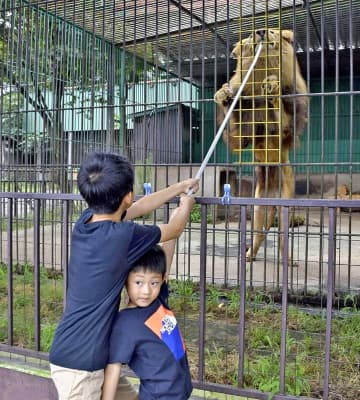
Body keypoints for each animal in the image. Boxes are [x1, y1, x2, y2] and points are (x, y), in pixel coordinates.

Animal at [214, 28, 310, 260]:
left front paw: (273, 87)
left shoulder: (288, 126)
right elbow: (237, 128)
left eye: (273, 31)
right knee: (259, 232)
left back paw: (288, 260)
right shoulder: (244, 134)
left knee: (284, 237)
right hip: (258, 208)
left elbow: (282, 115)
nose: (260, 31)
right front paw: (224, 94)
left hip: (286, 205)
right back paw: (250, 255)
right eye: (250, 35)